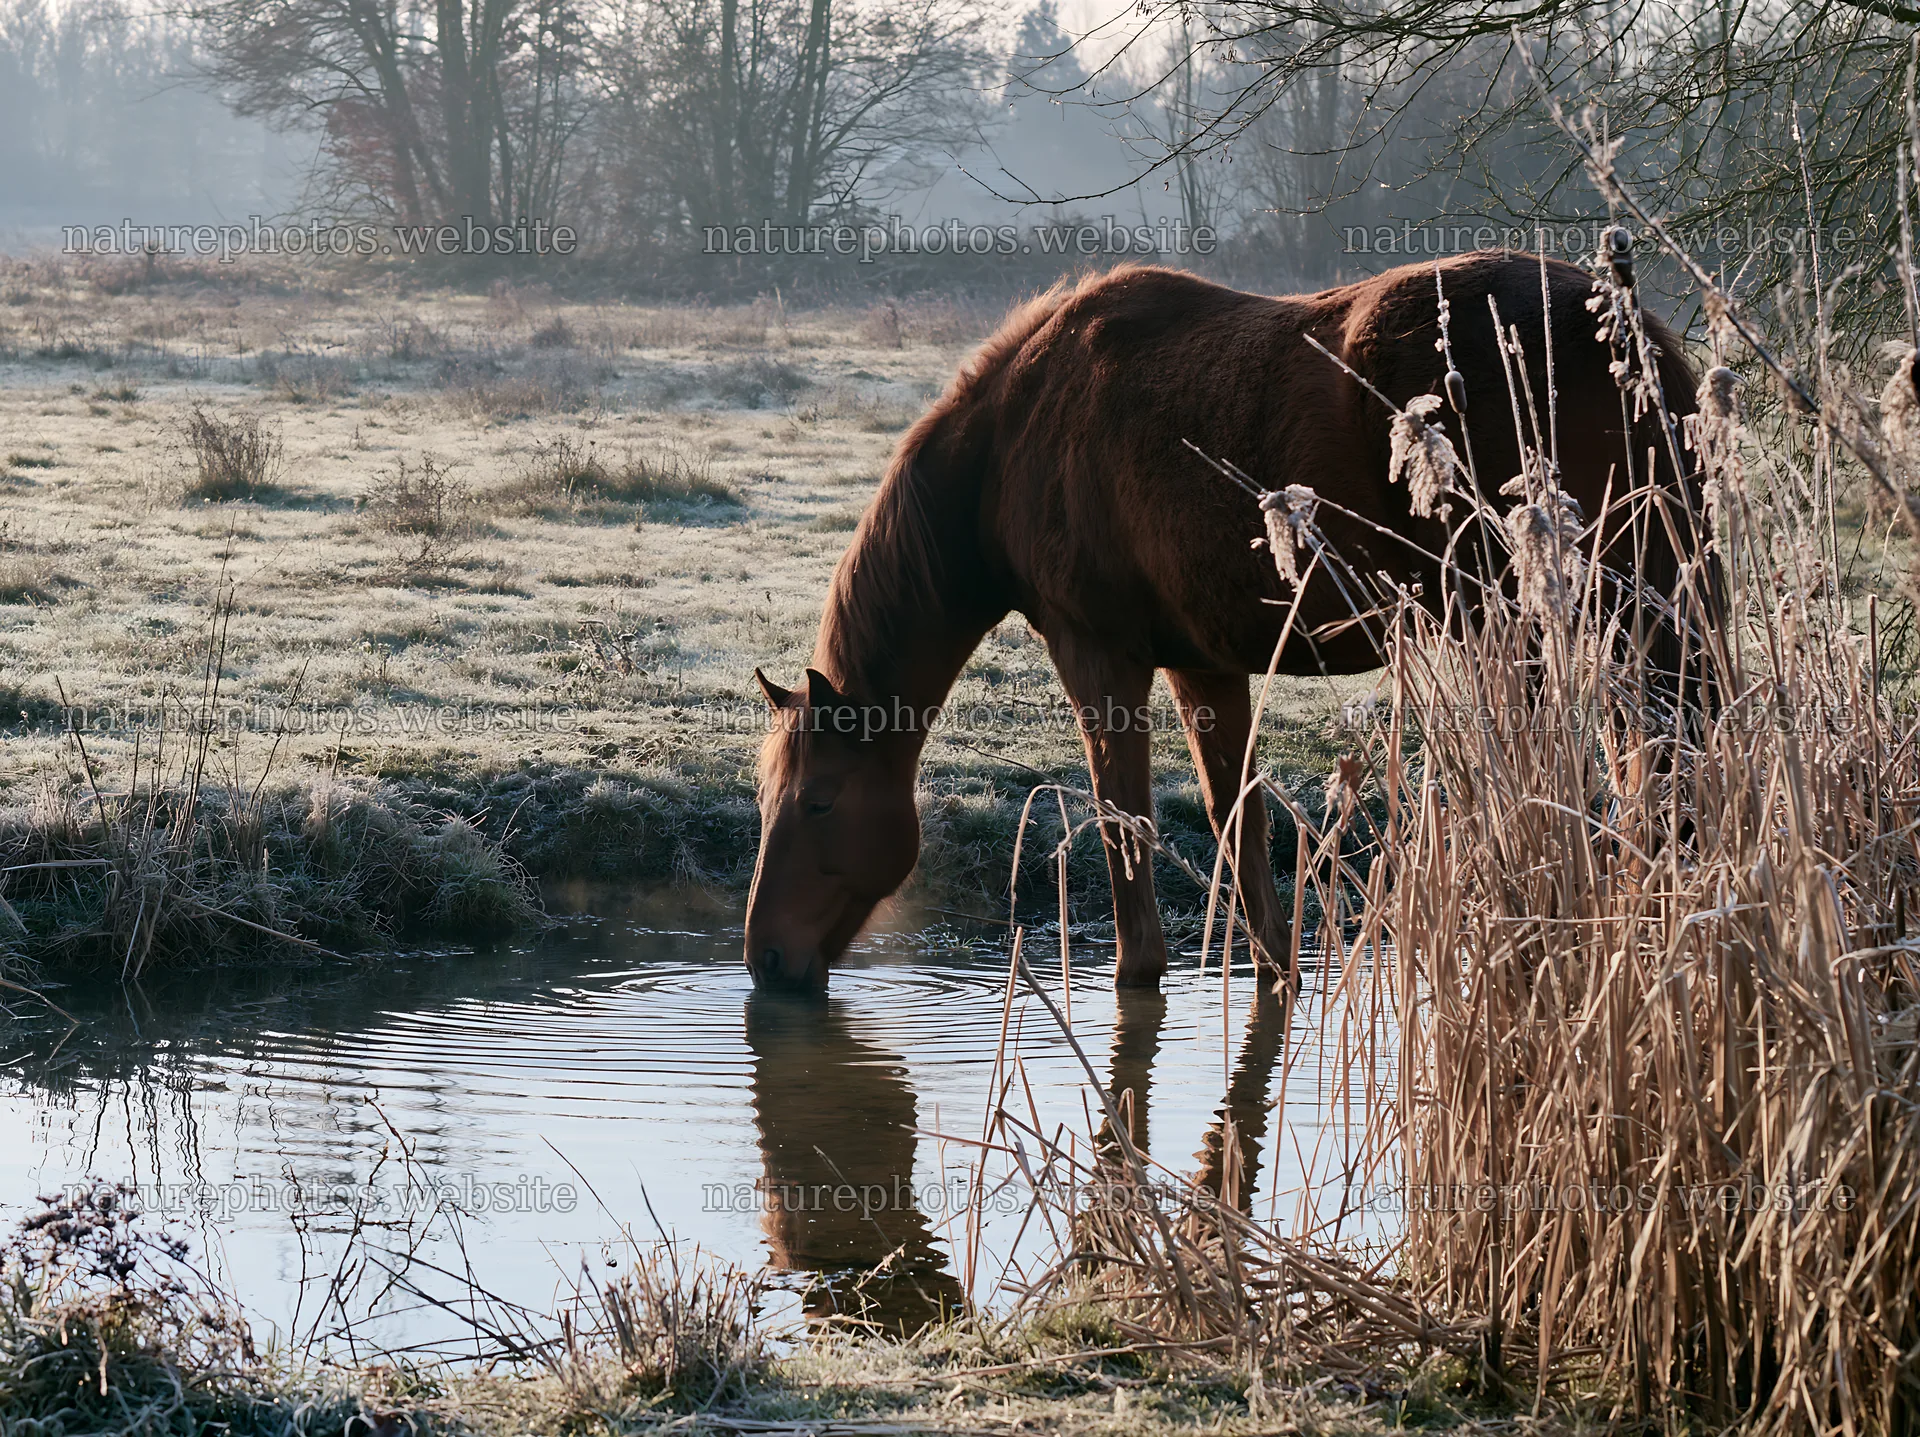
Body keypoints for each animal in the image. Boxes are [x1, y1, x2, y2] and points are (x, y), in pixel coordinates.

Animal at [745, 250, 1699, 991]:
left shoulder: (1100, 654)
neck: (1009, 442)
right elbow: (1239, 822)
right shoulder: (1202, 662)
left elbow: (1124, 825)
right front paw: (1276, 969)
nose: (763, 959)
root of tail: (1632, 333)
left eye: (819, 801)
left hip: (1559, 629)